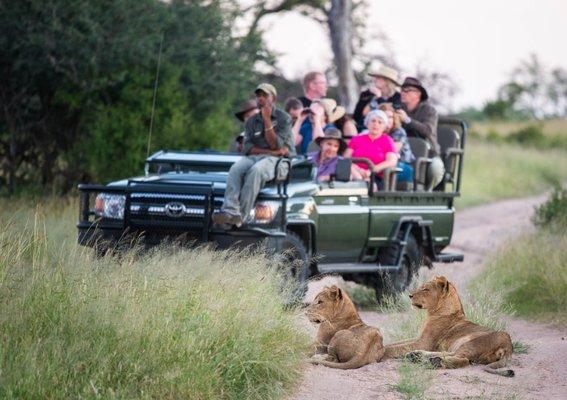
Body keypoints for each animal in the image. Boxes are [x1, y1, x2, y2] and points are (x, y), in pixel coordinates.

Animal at [382, 276, 516, 376]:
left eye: (425, 289)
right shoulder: (420, 338)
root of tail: (508, 346)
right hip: (459, 345)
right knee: (450, 353)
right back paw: (417, 356)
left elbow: (396, 348)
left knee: (463, 360)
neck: (435, 312)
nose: (410, 295)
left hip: (472, 343)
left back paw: (434, 362)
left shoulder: (424, 342)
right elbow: (396, 344)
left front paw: (382, 352)